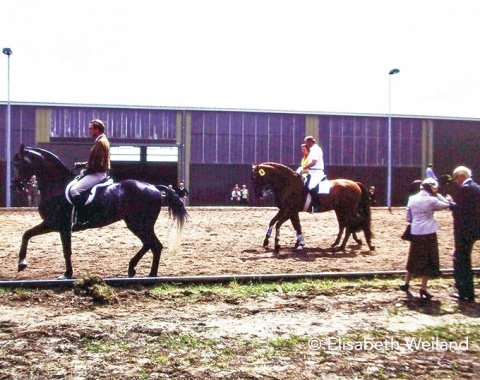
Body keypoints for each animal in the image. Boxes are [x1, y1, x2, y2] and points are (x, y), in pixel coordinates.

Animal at [12, 145, 187, 280]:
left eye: (19, 164)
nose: (15, 185)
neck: (56, 186)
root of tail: (154, 187)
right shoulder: (55, 225)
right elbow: (27, 235)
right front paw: (22, 263)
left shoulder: (57, 225)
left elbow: (64, 250)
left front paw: (65, 274)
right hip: (136, 224)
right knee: (150, 244)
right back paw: (135, 269)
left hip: (139, 224)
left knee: (154, 245)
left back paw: (150, 274)